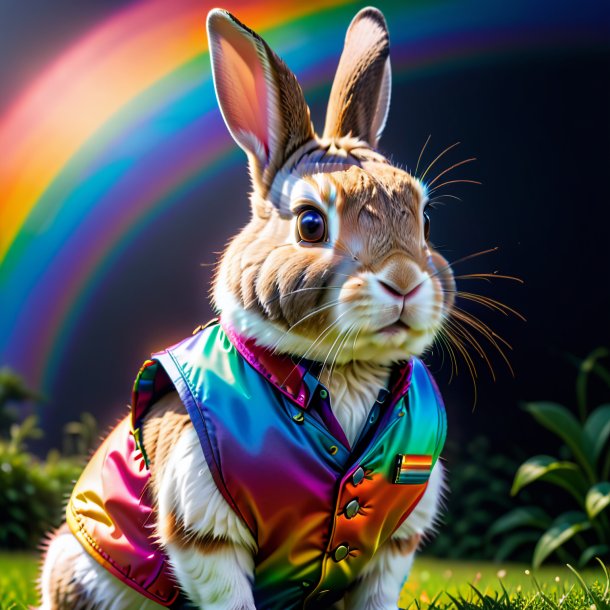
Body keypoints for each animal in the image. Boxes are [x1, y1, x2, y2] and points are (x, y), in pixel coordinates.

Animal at [38, 5, 454, 608]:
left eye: (424, 219)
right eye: (310, 223)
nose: (403, 280)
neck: (338, 370)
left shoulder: (395, 543)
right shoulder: (203, 524)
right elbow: (226, 589)